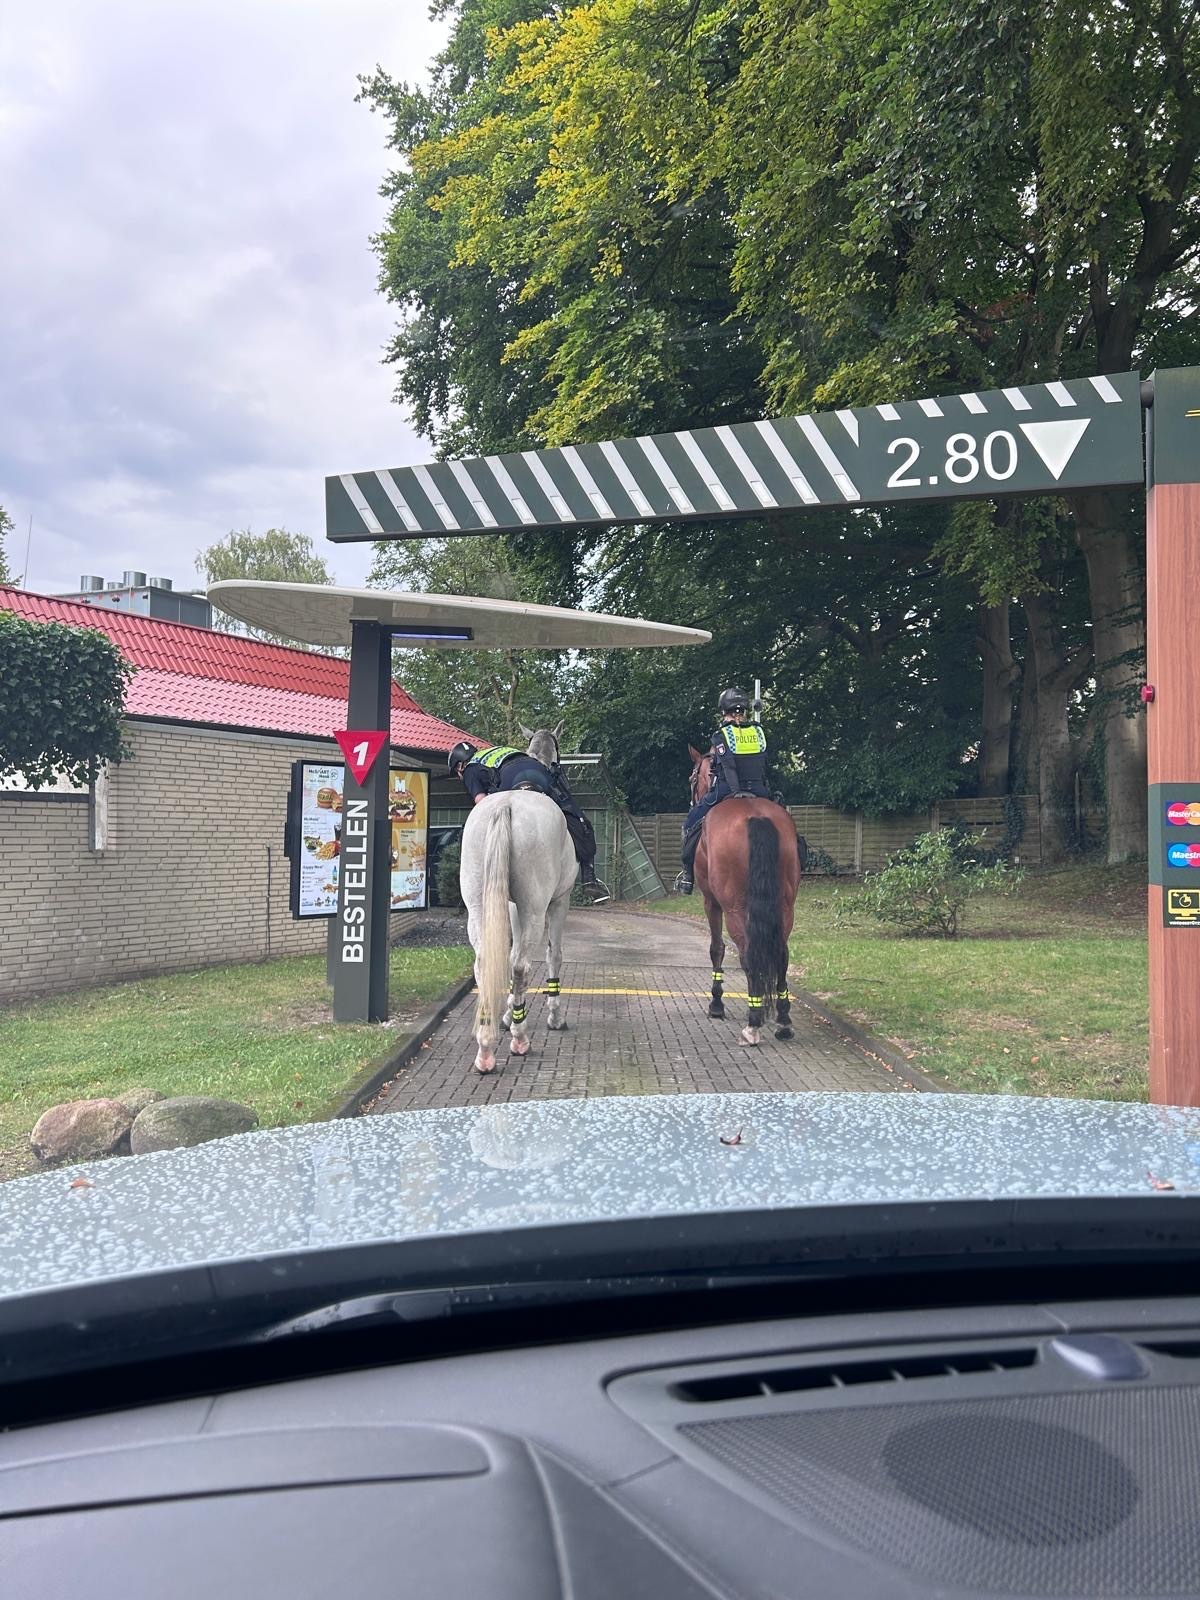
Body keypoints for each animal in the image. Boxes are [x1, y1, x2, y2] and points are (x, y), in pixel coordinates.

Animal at [460, 761, 579, 1075]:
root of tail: (506, 805)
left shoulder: (512, 907)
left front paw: (505, 1016)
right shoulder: (559, 902)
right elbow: (554, 955)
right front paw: (554, 1017)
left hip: (479, 906)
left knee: (485, 963)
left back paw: (486, 1046)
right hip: (536, 909)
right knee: (521, 966)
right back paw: (520, 1038)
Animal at [684, 752, 809, 1049]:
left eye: (692, 777)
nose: (692, 800)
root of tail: (756, 816)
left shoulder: (711, 903)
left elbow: (716, 949)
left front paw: (716, 1004)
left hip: (733, 908)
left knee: (747, 954)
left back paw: (753, 1023)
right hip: (785, 907)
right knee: (781, 954)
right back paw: (783, 1021)